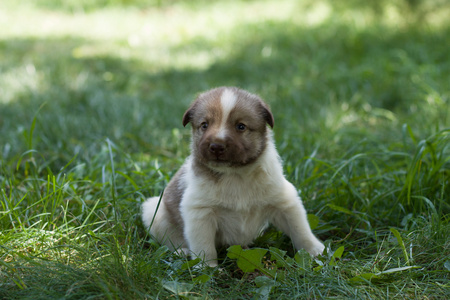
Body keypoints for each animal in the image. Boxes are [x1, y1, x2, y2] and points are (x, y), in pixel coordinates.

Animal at [141, 86, 324, 268]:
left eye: (241, 126)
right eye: (204, 125)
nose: (216, 146)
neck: (236, 175)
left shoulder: (284, 201)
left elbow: (300, 229)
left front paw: (315, 251)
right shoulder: (199, 212)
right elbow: (204, 246)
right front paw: (208, 268)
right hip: (154, 212)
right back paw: (182, 251)